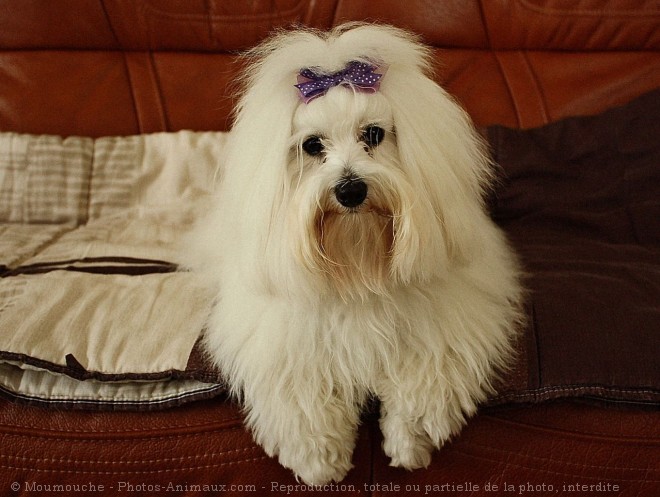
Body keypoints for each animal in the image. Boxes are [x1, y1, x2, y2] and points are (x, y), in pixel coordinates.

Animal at [183, 24, 524, 484]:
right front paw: (321, 463)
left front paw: (409, 442)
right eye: (312, 146)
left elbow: (426, 380)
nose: (350, 189)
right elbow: (304, 400)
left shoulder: (448, 326)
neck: (358, 263)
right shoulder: (286, 346)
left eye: (374, 135)